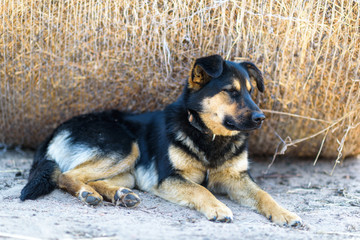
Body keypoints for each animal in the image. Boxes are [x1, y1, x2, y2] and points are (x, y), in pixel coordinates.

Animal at [19, 54, 300, 225]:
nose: (260, 117)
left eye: (251, 92)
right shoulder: (169, 177)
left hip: (129, 171)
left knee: (91, 178)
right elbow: (200, 189)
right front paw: (218, 207)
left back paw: (120, 195)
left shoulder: (238, 178)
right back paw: (88, 194)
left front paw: (284, 213)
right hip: (126, 146)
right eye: (231, 91)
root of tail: (57, 130)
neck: (208, 136)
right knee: (65, 175)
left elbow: (264, 194)